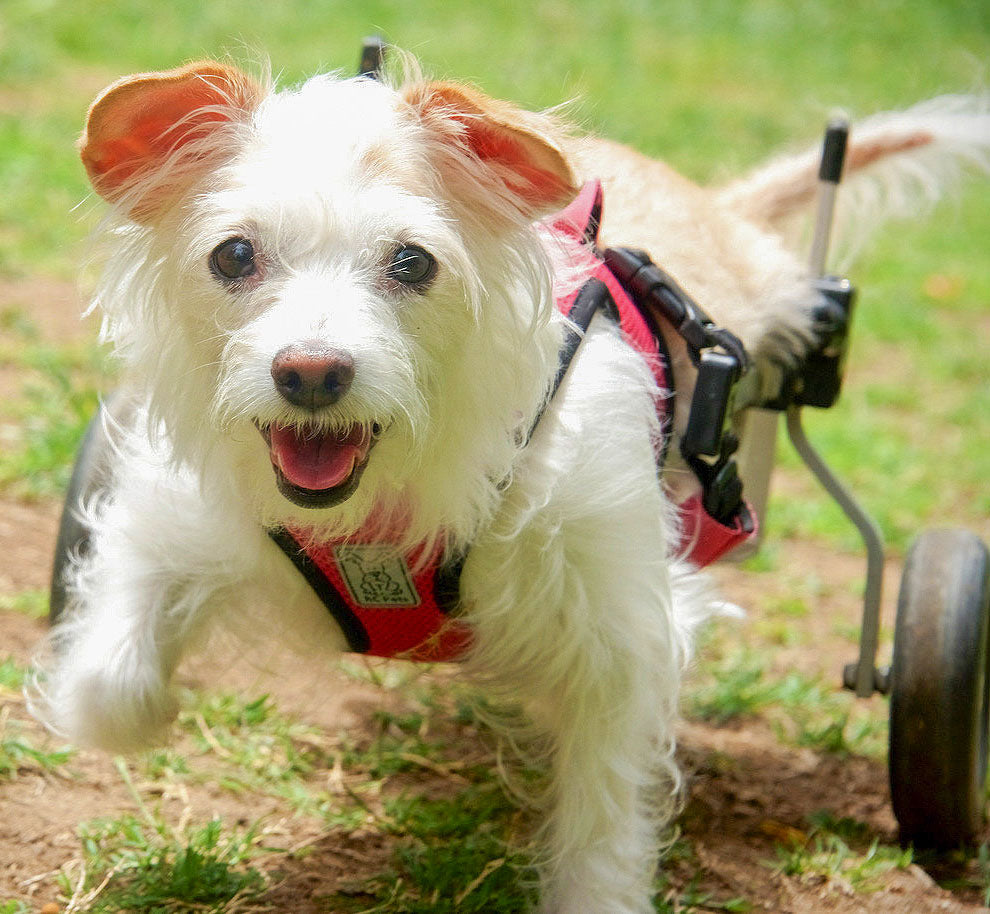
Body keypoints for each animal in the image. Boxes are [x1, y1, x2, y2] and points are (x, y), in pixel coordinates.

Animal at [33, 58, 990, 912]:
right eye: (234, 255)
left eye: (412, 263)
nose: (310, 372)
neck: (387, 501)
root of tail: (720, 213)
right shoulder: (169, 520)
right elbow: (108, 686)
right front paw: (140, 705)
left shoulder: (621, 631)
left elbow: (604, 818)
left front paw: (597, 891)